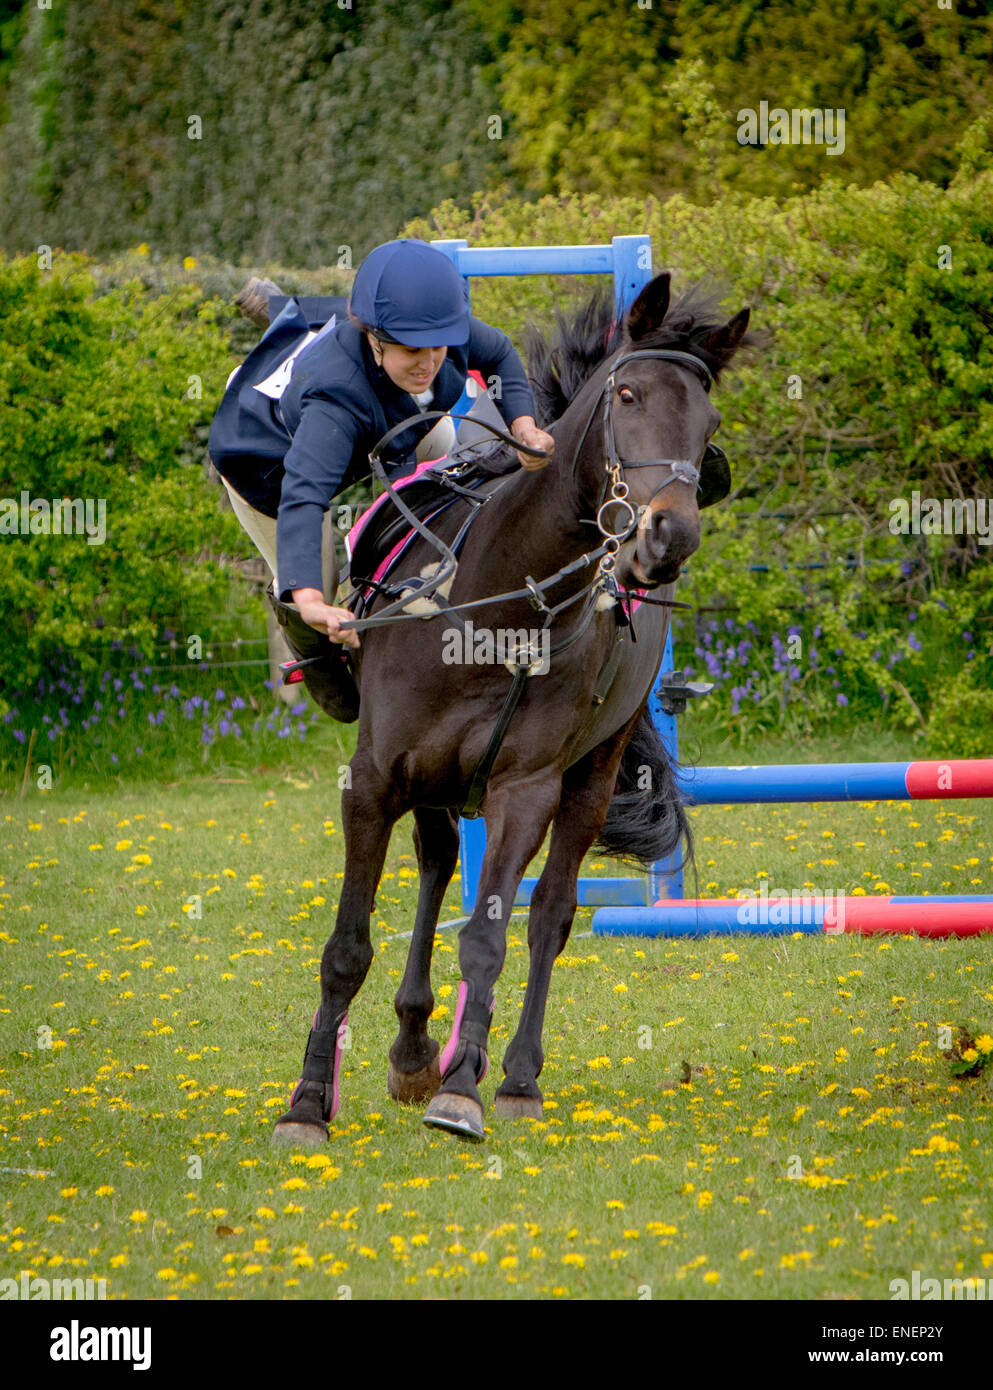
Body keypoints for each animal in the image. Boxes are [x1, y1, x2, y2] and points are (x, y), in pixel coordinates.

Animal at [267, 268, 745, 1139]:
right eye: (627, 394)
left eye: (709, 424)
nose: (668, 537)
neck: (497, 605)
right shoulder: (375, 780)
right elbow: (348, 946)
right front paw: (309, 1102)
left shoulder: (523, 788)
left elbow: (492, 937)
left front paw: (463, 1089)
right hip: (433, 778)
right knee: (435, 863)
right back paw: (416, 1046)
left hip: (591, 773)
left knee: (549, 914)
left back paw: (510, 1074)